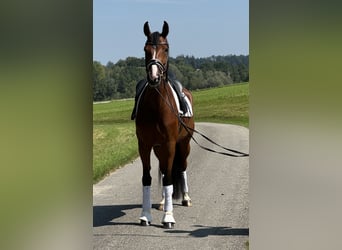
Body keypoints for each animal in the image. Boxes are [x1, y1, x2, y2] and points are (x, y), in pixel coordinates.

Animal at [136, 21, 195, 229]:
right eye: (145, 49)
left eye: (166, 49)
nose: (154, 77)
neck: (156, 105)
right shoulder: (144, 145)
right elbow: (147, 178)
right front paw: (145, 215)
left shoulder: (170, 145)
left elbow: (170, 178)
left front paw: (168, 217)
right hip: (159, 148)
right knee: (162, 170)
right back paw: (162, 201)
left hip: (183, 145)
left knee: (182, 168)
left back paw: (185, 198)